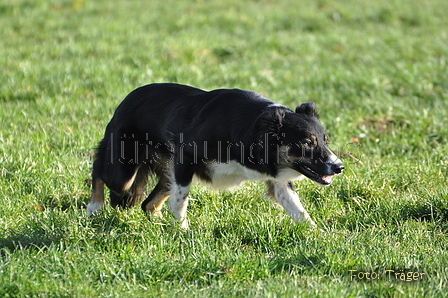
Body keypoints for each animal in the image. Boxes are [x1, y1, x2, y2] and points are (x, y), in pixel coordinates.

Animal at [87, 84, 344, 228]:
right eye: (307, 143)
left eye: (326, 140)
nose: (339, 167)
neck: (255, 128)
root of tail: (125, 100)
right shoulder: (186, 156)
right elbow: (181, 200)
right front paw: (182, 230)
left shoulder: (276, 178)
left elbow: (298, 209)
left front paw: (317, 234)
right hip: (124, 168)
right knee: (100, 169)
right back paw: (94, 207)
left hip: (163, 171)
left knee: (148, 203)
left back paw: (158, 221)